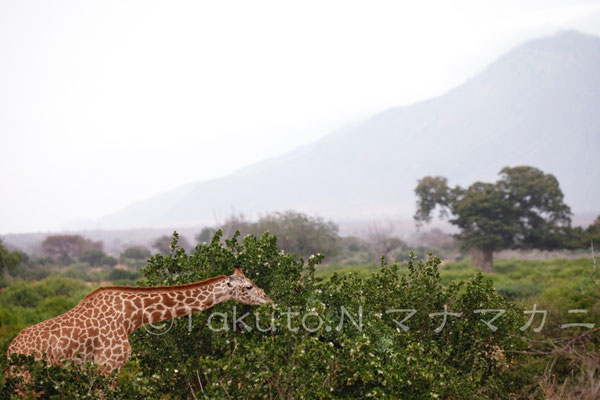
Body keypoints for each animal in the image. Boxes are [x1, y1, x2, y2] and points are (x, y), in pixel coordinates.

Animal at [5, 268, 270, 374]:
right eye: (249, 286)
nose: (268, 299)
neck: (131, 315)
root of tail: (10, 351)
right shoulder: (108, 365)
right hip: (24, 376)